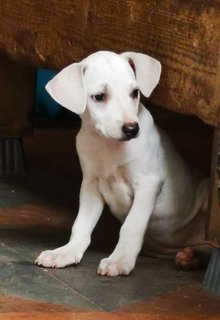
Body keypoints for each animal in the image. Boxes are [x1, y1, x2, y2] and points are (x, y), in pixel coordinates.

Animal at [35, 51, 209, 276]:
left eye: (135, 93)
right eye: (99, 96)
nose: (132, 129)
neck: (108, 145)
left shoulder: (147, 183)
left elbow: (131, 225)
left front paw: (120, 260)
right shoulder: (91, 185)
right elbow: (81, 225)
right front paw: (66, 252)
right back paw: (192, 257)